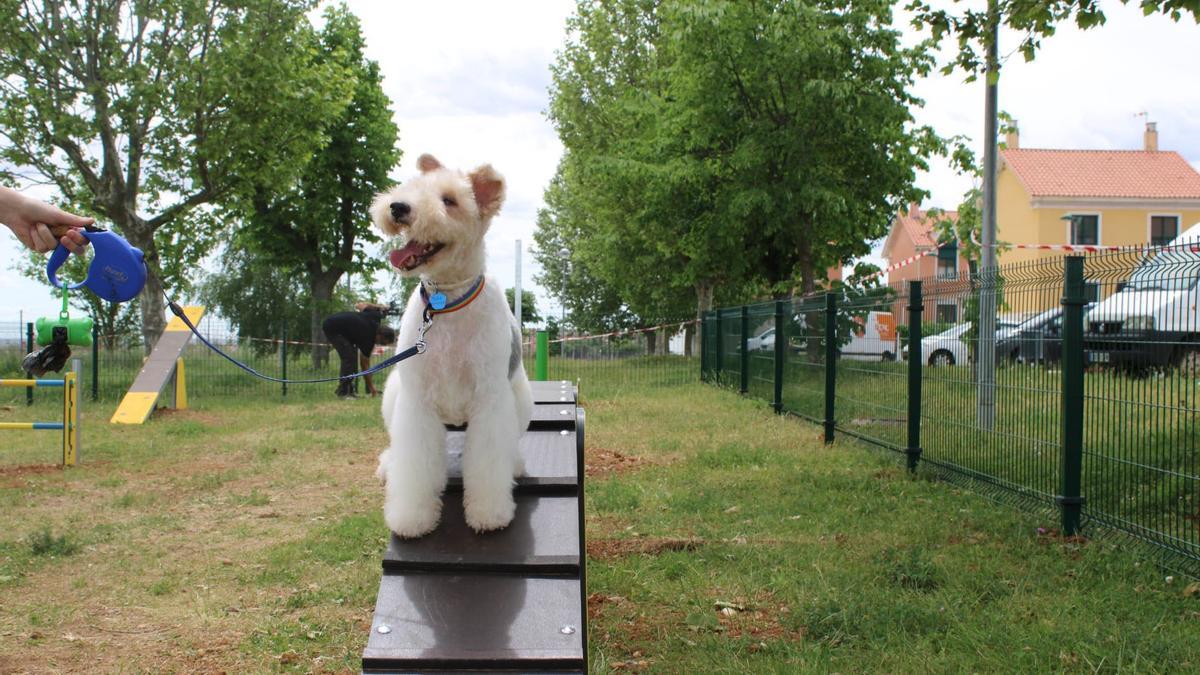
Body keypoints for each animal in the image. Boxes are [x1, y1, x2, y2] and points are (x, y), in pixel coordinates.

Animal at [369, 153, 530, 535]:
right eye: (413, 186)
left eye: (449, 201)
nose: (398, 207)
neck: (445, 301)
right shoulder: (416, 403)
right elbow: (414, 466)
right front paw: (412, 518)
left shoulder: (490, 400)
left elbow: (489, 461)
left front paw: (488, 514)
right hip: (393, 396)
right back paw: (387, 465)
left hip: (520, 400)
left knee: (511, 442)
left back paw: (515, 463)